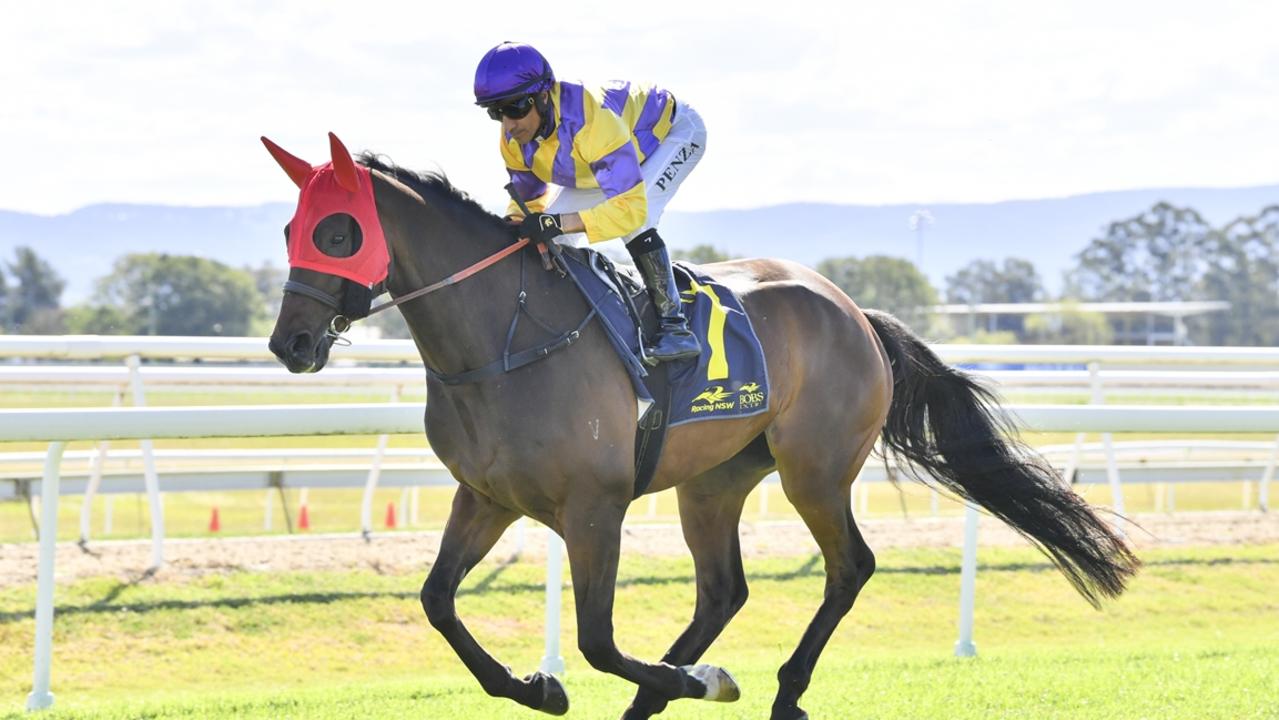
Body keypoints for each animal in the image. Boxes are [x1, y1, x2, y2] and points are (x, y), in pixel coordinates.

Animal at [262, 135, 1140, 720]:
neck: (501, 342)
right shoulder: (485, 497)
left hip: (813, 469)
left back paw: (773, 693)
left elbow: (597, 640)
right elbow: (438, 602)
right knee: (723, 589)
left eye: (336, 232)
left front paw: (695, 680)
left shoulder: (595, 507)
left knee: (848, 566)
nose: (289, 344)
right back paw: (655, 701)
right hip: (715, 480)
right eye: (290, 231)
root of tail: (855, 311)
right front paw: (537, 687)